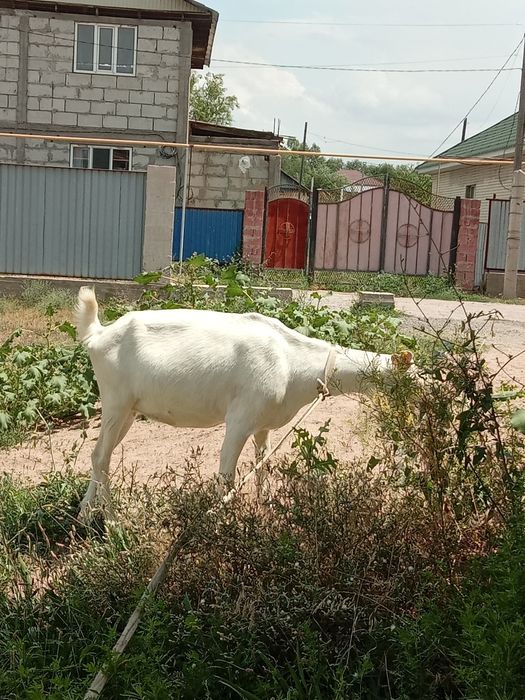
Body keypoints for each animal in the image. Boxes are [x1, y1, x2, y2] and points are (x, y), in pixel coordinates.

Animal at [75, 286, 412, 520]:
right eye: (414, 375)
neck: (293, 360)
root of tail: (98, 334)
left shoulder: (263, 425)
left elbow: (263, 465)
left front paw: (265, 509)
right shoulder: (239, 420)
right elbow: (227, 476)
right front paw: (222, 524)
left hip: (129, 410)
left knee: (98, 455)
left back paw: (83, 516)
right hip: (116, 402)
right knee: (101, 457)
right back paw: (114, 522)